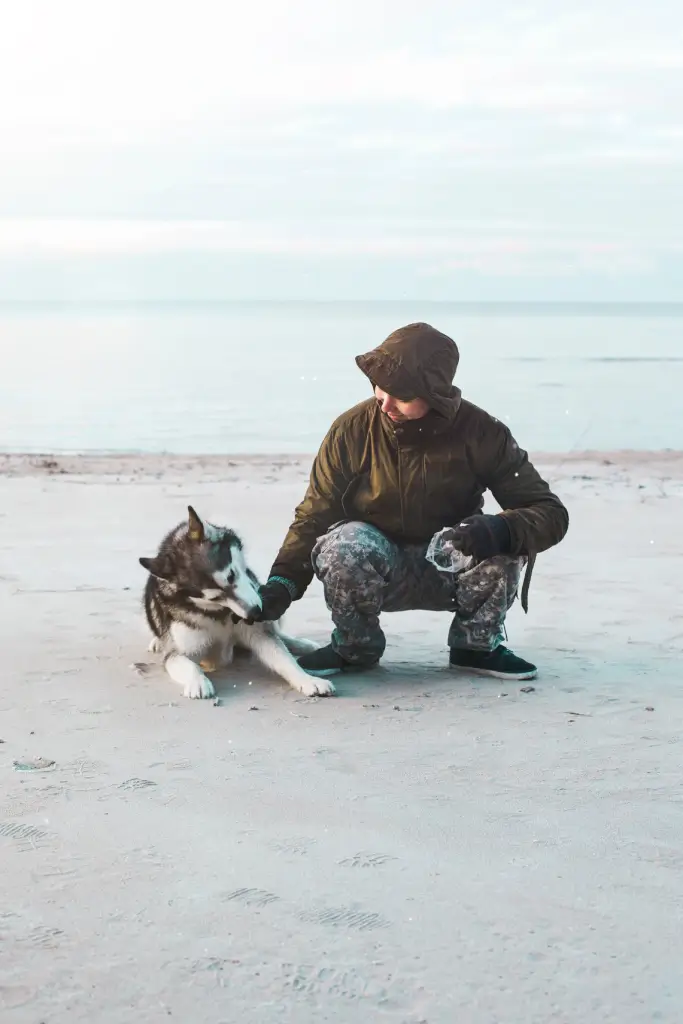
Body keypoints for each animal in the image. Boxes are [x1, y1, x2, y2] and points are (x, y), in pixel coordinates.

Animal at [137, 505, 335, 700]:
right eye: (214, 598)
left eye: (231, 575)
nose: (254, 613)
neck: (218, 613)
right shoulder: (178, 652)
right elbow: (186, 663)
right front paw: (198, 682)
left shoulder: (258, 631)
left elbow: (285, 660)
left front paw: (308, 679)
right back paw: (157, 642)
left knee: (277, 632)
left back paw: (301, 645)